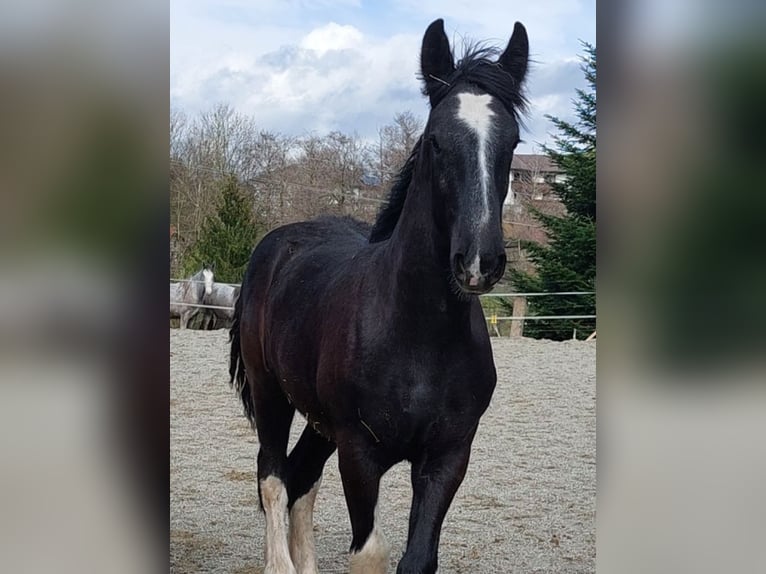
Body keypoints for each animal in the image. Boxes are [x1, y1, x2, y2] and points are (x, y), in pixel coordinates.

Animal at [228, 18, 528, 574]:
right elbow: (370, 551)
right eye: (435, 141)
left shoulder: (448, 456)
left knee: (301, 478)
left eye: (513, 141)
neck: (418, 337)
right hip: (270, 393)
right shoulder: (359, 452)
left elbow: (418, 557)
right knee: (274, 478)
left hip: (319, 421)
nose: (479, 260)